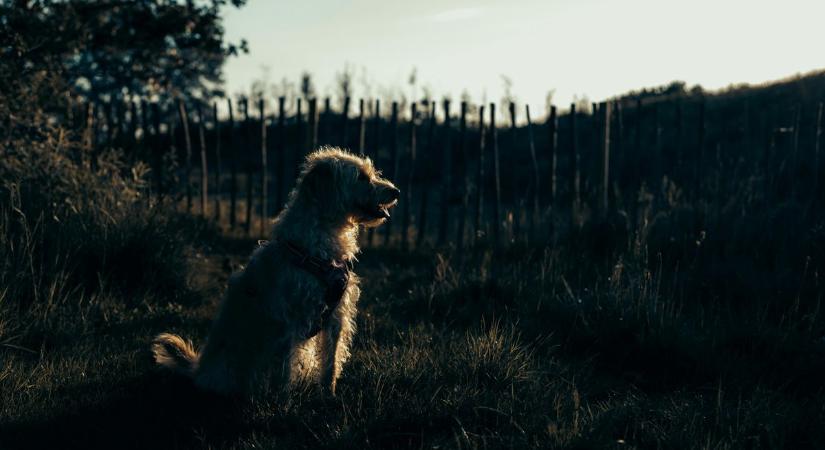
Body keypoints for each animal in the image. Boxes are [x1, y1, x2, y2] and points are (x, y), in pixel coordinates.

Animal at [154, 148, 402, 394]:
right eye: (361, 177)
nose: (396, 191)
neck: (318, 247)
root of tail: (198, 370)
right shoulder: (287, 321)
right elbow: (283, 371)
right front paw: (283, 401)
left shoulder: (336, 317)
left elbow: (330, 363)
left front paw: (328, 395)